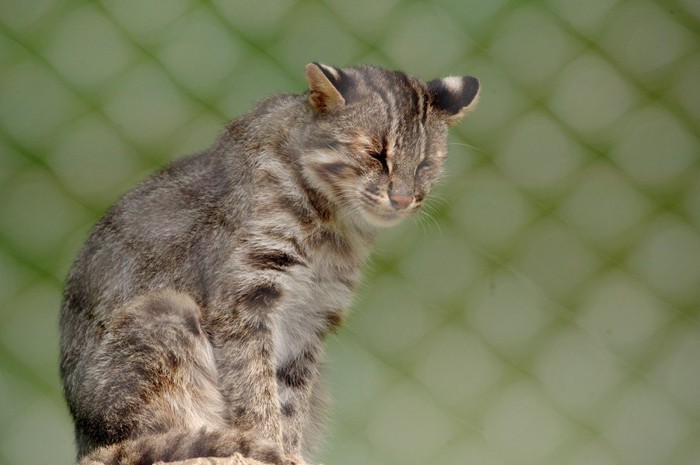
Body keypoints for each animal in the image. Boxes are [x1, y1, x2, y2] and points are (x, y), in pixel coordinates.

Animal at [60, 62, 478, 464]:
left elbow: (290, 398)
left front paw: (289, 450)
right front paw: (267, 445)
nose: (404, 199)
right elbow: (254, 388)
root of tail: (83, 442)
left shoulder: (311, 318)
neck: (334, 224)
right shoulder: (245, 301)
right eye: (376, 154)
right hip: (165, 312)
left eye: (425, 164)